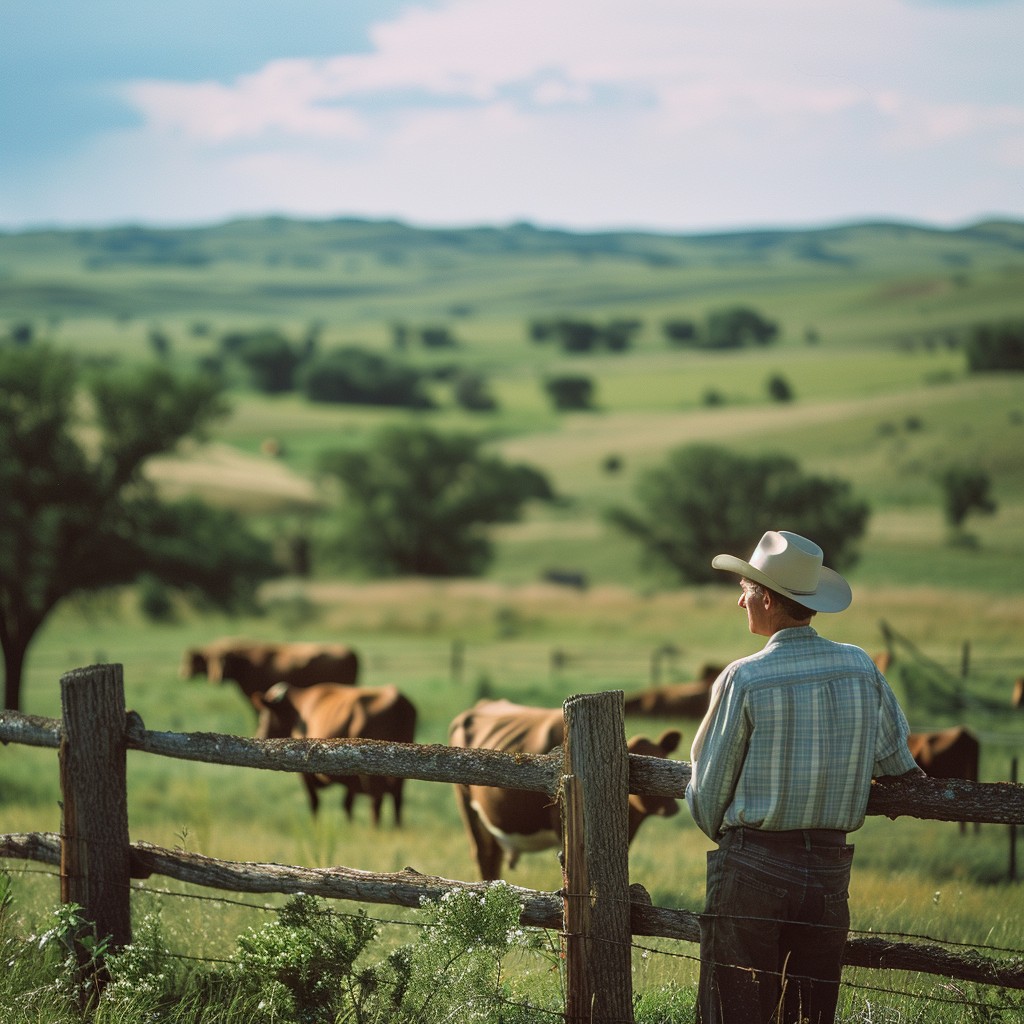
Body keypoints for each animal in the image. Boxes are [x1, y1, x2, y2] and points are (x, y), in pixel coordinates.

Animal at [255, 682, 417, 825]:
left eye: (265, 714)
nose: (260, 734)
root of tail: (398, 699)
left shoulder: (305, 773)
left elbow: (315, 802)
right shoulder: (351, 778)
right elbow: (347, 805)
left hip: (371, 775)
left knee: (376, 800)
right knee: (397, 799)